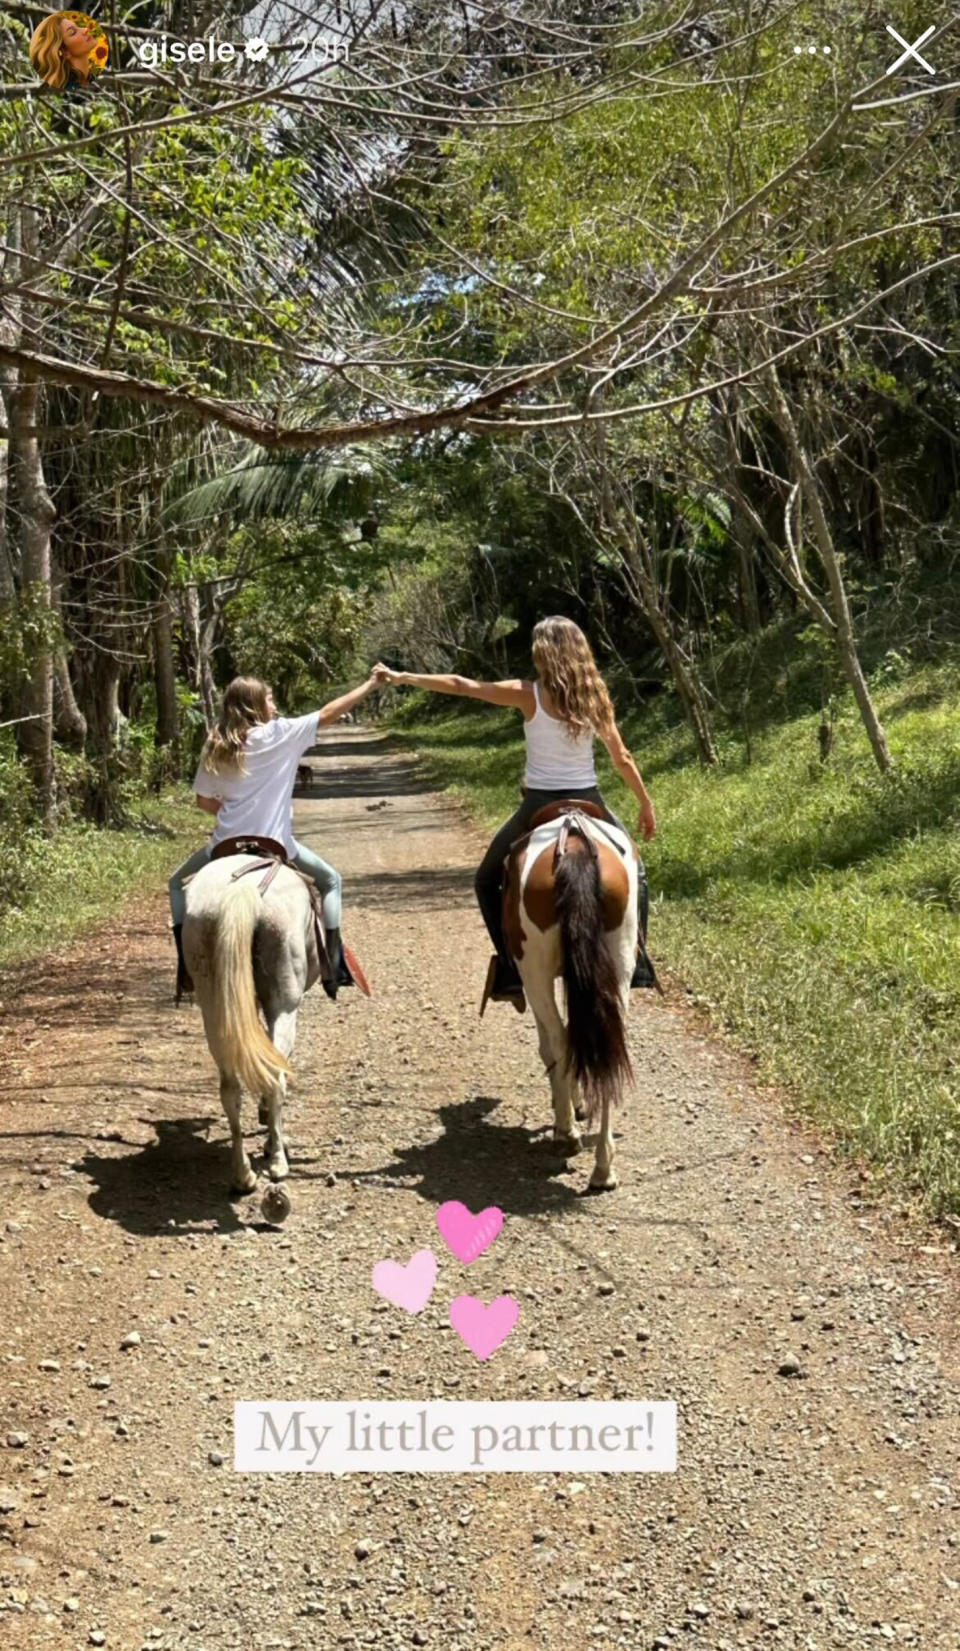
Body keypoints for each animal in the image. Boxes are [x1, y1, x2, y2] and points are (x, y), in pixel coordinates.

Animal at [175, 858, 318, 1195]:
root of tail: (242, 891)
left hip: (215, 1007)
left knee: (230, 1089)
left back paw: (243, 1175)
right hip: (284, 1002)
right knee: (275, 1075)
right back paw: (277, 1160)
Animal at [499, 805, 641, 1195]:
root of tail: (574, 842)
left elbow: (549, 1045)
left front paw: (568, 1109)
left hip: (533, 970)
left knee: (561, 1040)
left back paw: (566, 1133)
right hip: (618, 963)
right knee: (610, 1045)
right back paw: (603, 1167)